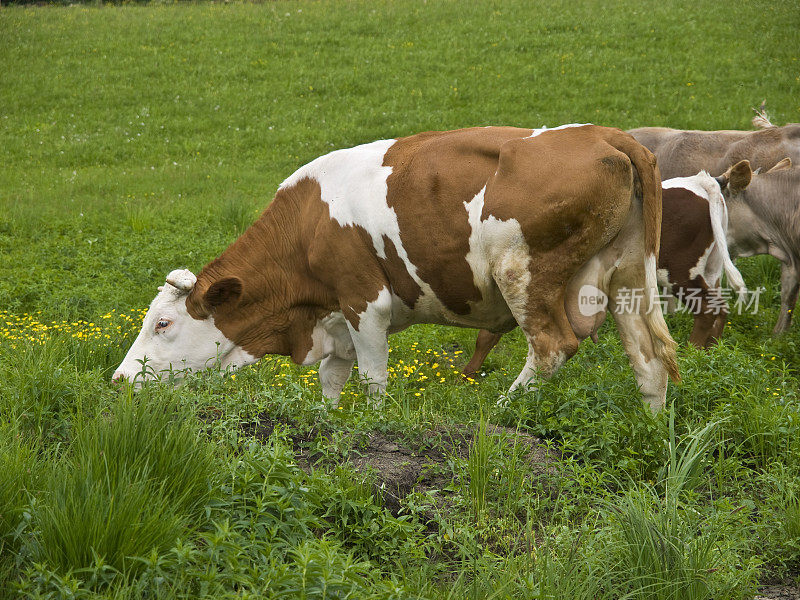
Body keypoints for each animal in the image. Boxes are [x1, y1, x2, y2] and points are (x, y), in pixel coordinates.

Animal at [112, 123, 676, 412]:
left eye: (163, 324)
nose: (119, 379)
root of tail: (602, 133)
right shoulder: (336, 317)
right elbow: (332, 381)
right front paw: (327, 423)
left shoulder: (365, 302)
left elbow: (373, 380)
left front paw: (373, 426)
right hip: (628, 278)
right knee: (648, 360)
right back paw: (654, 433)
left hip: (524, 272)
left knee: (552, 345)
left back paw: (500, 413)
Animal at [462, 166, 752, 378]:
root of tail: (702, 181)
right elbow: (487, 335)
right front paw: (468, 374)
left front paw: (467, 375)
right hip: (711, 269)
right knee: (720, 309)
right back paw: (710, 354)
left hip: (679, 272)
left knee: (708, 310)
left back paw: (693, 354)